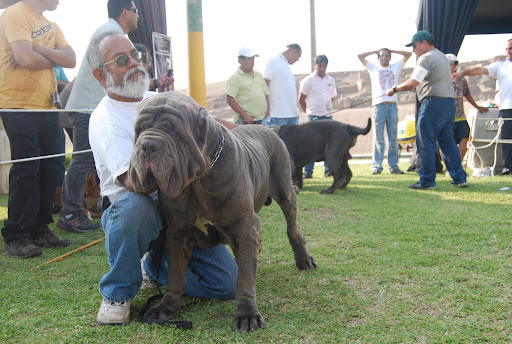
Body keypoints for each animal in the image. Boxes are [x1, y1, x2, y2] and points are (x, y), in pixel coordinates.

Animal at [128, 92, 316, 334]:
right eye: (139, 130)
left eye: (174, 132)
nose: (148, 145)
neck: (196, 180)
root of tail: (271, 129)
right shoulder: (177, 233)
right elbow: (175, 277)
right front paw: (166, 308)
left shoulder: (245, 227)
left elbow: (245, 280)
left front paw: (247, 314)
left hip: (286, 192)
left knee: (293, 227)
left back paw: (304, 260)